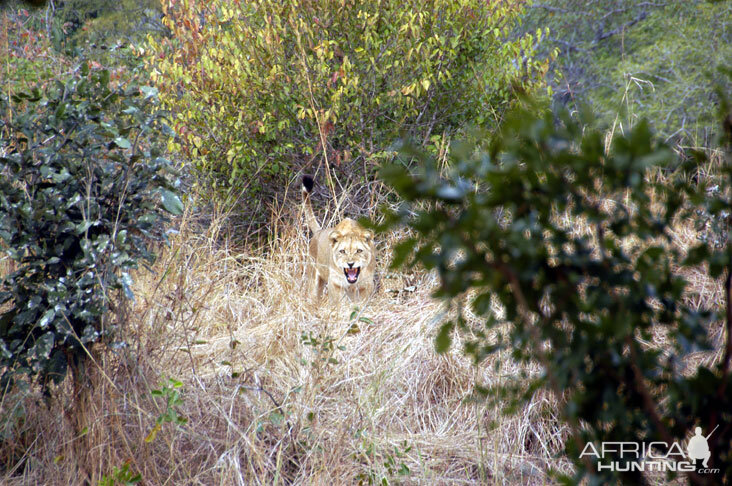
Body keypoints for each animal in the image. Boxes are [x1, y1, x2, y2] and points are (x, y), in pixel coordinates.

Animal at [300, 175, 374, 304]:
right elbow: (339, 303)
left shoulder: (367, 285)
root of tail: (319, 232)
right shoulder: (335, 283)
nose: (350, 264)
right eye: (342, 251)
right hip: (313, 281)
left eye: (359, 251)